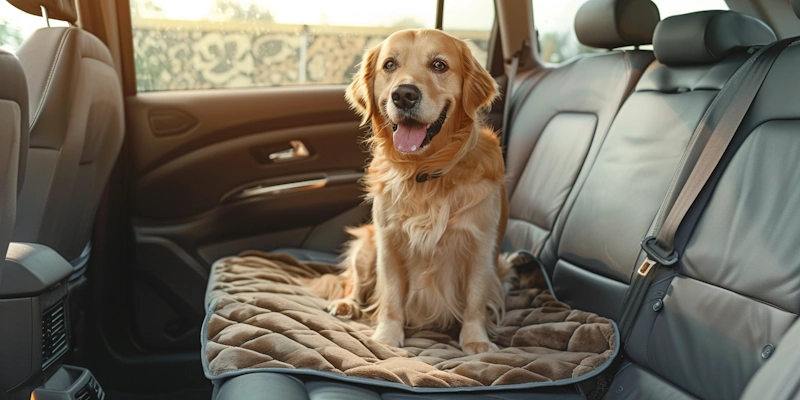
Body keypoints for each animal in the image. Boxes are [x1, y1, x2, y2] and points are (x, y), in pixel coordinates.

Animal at [304, 28, 506, 354]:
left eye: (439, 65)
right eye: (389, 65)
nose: (404, 95)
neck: (424, 172)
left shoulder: (480, 244)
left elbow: (475, 299)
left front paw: (476, 340)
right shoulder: (388, 241)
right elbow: (391, 296)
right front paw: (387, 336)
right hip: (366, 246)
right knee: (353, 283)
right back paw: (347, 304)